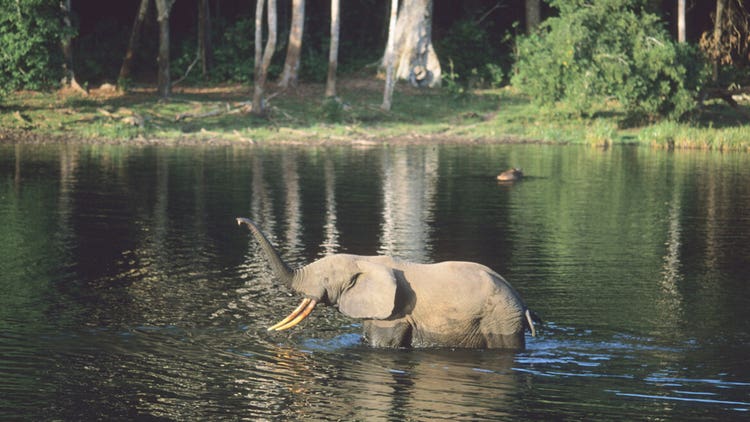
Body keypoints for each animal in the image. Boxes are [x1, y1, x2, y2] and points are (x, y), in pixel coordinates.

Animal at [237, 217, 538, 349]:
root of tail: (522, 303)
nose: (239, 221)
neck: (364, 260)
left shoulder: (395, 312)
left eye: (325, 280)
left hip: (500, 316)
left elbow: (381, 346)